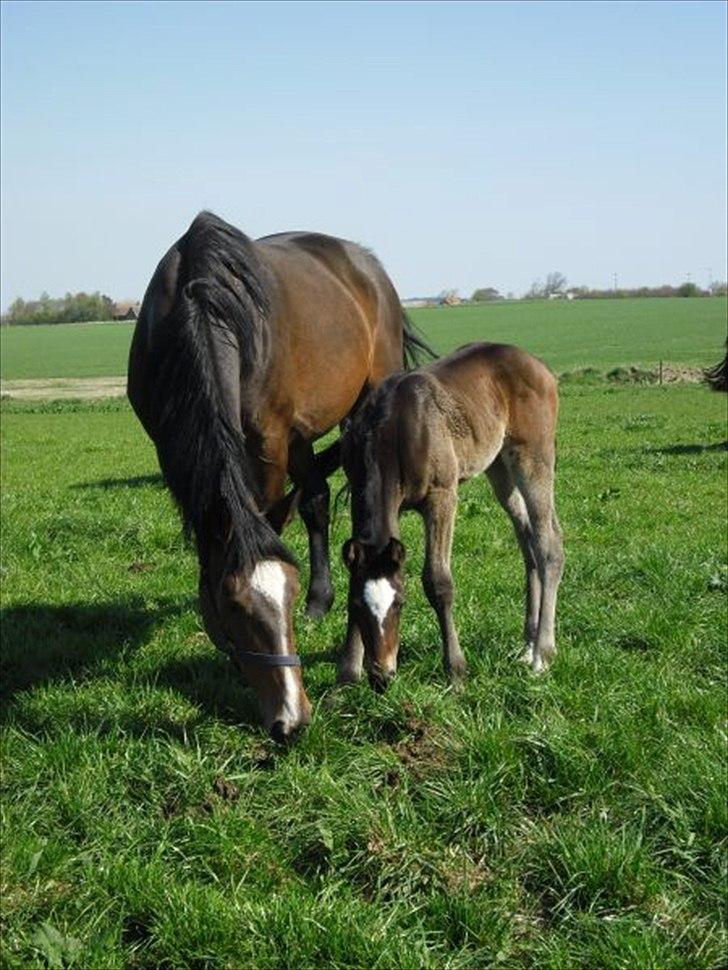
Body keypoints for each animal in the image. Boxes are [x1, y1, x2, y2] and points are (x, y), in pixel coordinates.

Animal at [127, 214, 430, 740]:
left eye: (284, 596)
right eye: (235, 608)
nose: (293, 719)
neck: (202, 304)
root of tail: (366, 263)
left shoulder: (268, 439)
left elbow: (266, 513)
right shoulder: (171, 445)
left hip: (357, 404)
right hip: (301, 434)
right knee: (315, 498)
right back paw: (322, 599)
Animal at [340, 340, 564, 688]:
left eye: (400, 603)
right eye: (356, 606)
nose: (382, 676)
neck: (390, 429)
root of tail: (539, 365)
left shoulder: (442, 496)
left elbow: (438, 581)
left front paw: (456, 671)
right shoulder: (357, 495)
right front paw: (348, 674)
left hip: (533, 455)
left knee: (548, 543)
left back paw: (542, 654)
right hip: (499, 466)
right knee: (527, 537)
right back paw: (528, 645)